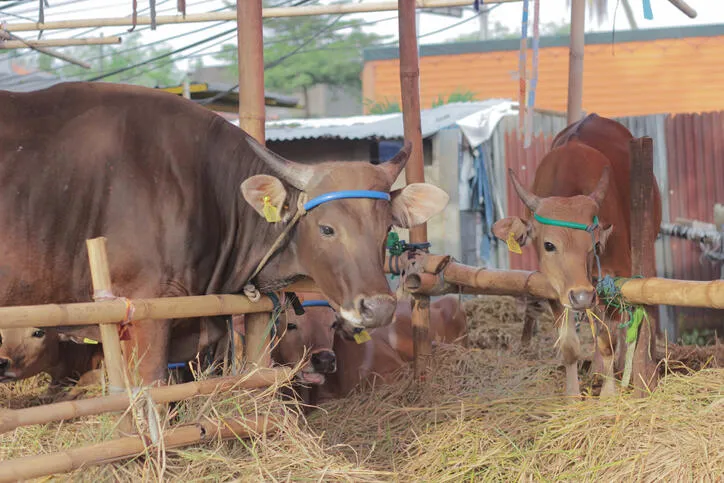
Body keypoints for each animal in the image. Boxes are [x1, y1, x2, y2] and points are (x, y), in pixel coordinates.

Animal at [492, 113, 660, 398]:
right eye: (549, 245)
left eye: (594, 246)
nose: (582, 296)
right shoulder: (555, 289)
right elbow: (569, 344)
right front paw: (572, 395)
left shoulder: (613, 278)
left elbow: (608, 338)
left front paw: (609, 393)